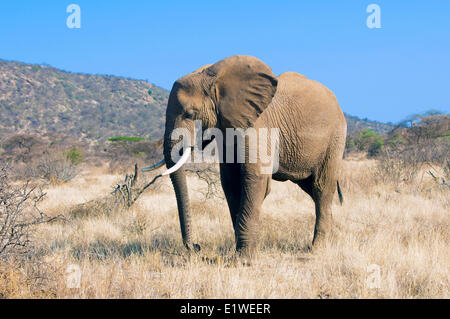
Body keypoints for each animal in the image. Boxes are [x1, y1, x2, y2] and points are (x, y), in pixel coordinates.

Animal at [142, 55, 346, 260]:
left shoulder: (259, 126)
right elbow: (230, 182)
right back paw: (333, 239)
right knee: (311, 188)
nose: (197, 247)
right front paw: (240, 252)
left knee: (321, 187)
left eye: (190, 114)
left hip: (335, 139)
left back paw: (317, 249)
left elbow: (254, 178)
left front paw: (244, 259)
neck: (213, 77)